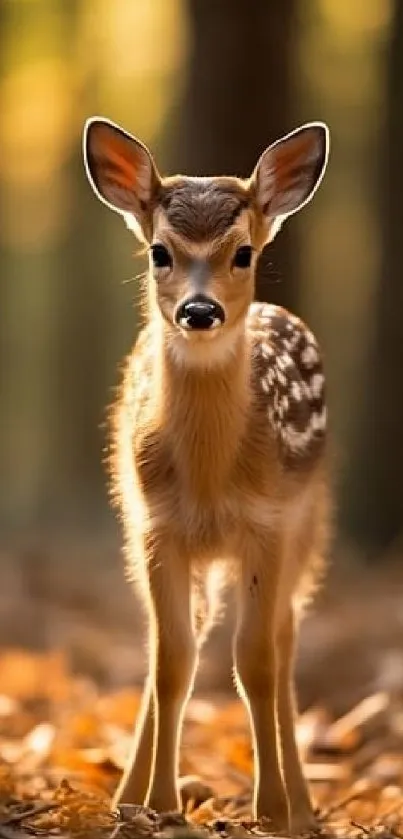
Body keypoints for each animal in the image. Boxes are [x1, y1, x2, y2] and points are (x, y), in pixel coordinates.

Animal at [83, 116, 331, 834]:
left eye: (243, 253)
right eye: (159, 252)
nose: (199, 311)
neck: (208, 479)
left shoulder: (268, 524)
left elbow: (256, 660)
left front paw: (271, 810)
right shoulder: (158, 527)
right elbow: (173, 660)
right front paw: (159, 803)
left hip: (311, 522)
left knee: (284, 637)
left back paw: (303, 806)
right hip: (141, 527)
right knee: (170, 641)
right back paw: (125, 793)